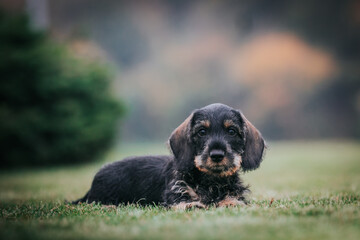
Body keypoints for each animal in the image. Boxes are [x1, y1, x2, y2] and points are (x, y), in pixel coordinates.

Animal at [72, 104, 264, 209]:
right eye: (202, 132)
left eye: (231, 131)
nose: (216, 155)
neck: (210, 180)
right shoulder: (175, 190)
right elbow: (181, 200)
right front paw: (191, 205)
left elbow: (232, 197)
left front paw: (231, 202)